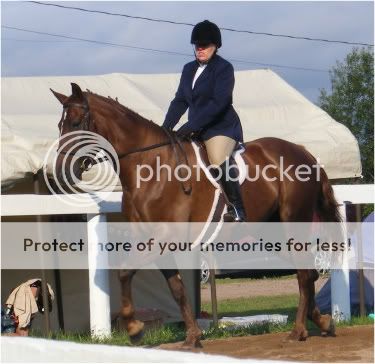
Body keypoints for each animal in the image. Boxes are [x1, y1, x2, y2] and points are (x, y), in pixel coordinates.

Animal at [51, 84, 340, 348]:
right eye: (60, 125)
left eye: (76, 123)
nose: (59, 172)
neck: (150, 167)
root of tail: (305, 153)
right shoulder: (157, 242)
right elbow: (177, 289)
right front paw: (192, 336)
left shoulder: (164, 238)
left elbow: (124, 271)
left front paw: (134, 329)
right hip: (273, 234)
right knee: (308, 273)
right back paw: (323, 322)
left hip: (293, 224)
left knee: (304, 275)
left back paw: (298, 330)